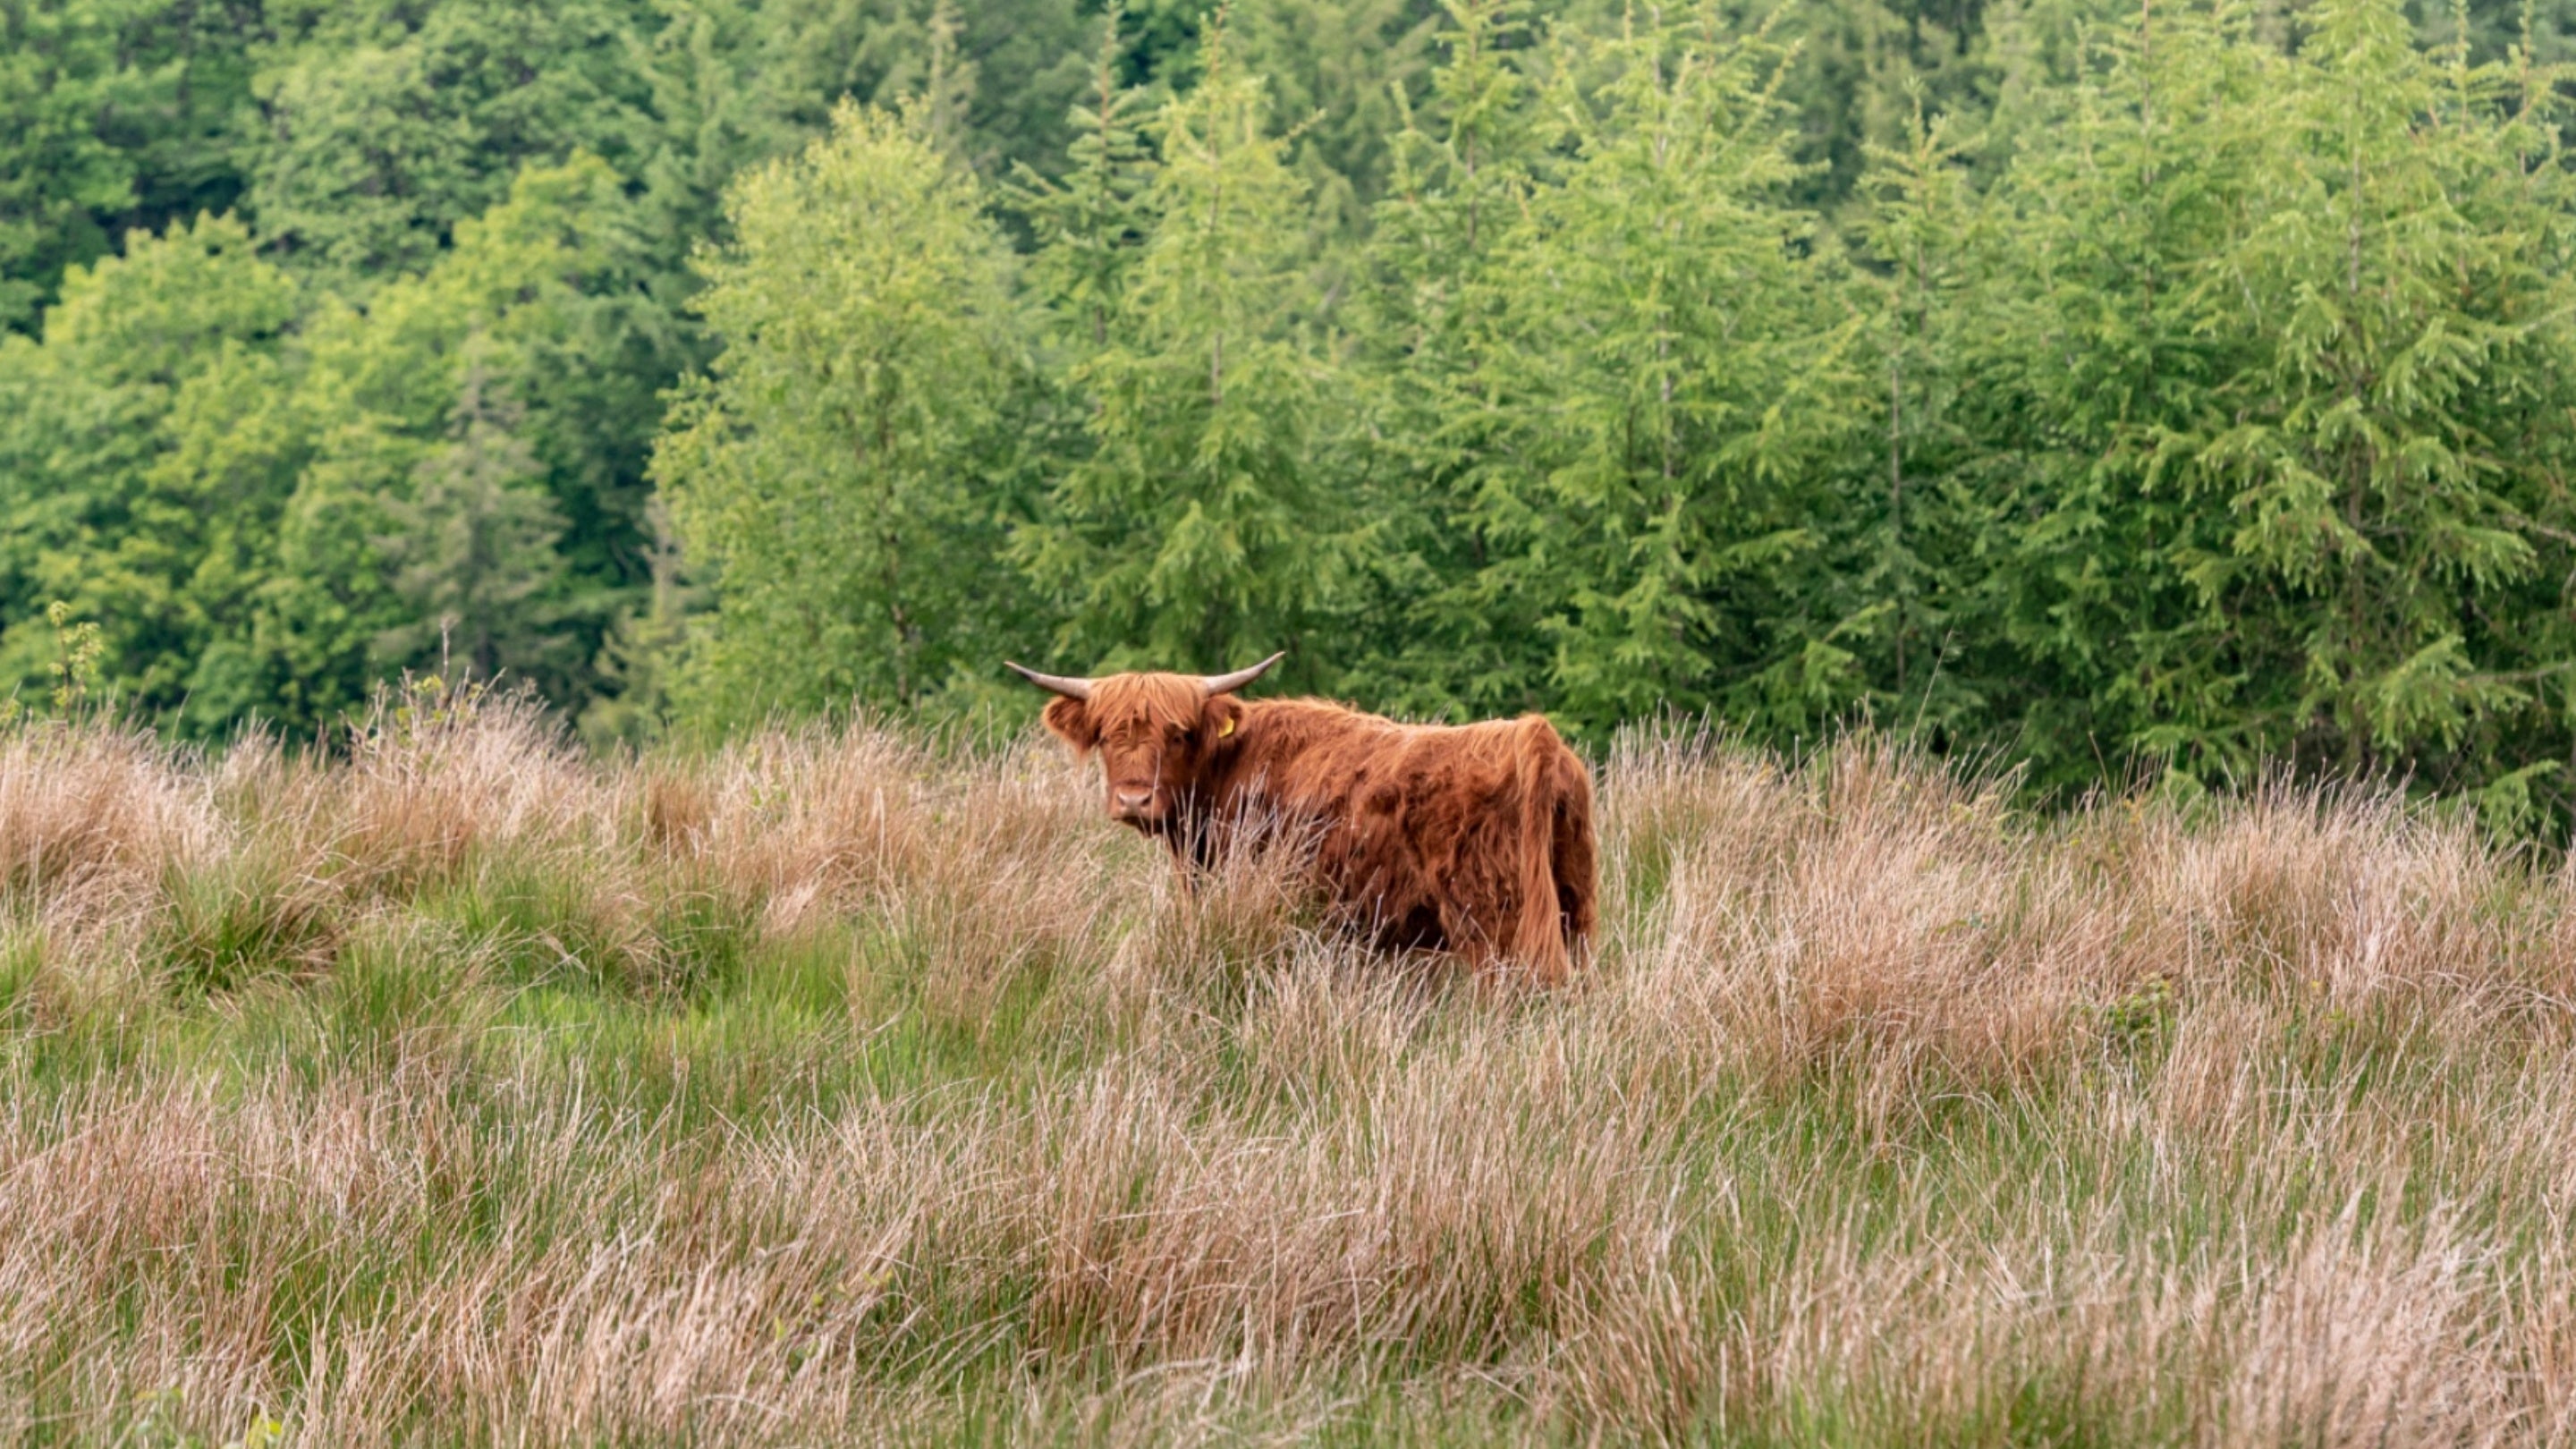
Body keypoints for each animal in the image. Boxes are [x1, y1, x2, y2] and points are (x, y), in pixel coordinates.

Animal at [1007, 652, 1598, 984]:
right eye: (1107, 735)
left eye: (1178, 734)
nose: (1133, 799)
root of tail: (1534, 737)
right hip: (1574, 910)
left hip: (1493, 925)